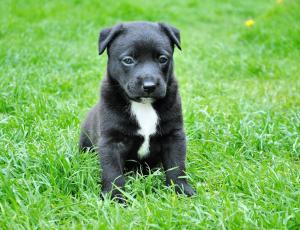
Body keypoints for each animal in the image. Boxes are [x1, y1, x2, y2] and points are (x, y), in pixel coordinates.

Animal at [79, 21, 196, 201]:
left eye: (163, 59)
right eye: (128, 60)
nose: (149, 86)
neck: (143, 104)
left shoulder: (174, 136)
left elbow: (177, 166)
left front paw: (181, 189)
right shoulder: (111, 142)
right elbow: (112, 172)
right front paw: (115, 197)